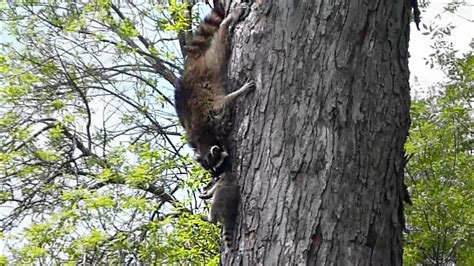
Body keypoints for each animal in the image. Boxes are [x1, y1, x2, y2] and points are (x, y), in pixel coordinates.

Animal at [175, 1, 256, 176]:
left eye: (218, 165)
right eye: (212, 170)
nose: (217, 177)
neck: (203, 141)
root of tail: (189, 66)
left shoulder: (212, 114)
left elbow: (225, 102)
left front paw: (240, 92)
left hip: (208, 66)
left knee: (219, 46)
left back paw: (227, 22)